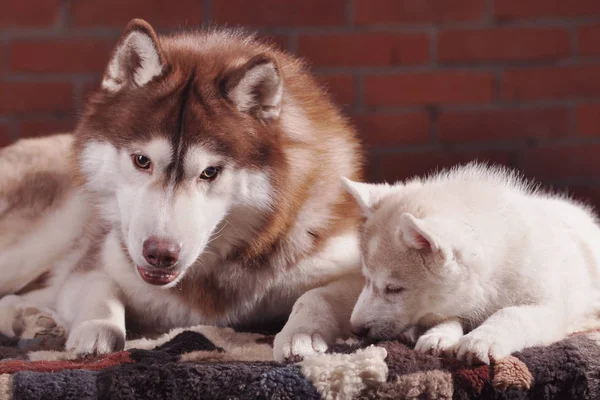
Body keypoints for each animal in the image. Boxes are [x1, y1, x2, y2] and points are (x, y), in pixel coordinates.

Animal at [344, 163, 600, 366]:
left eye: (394, 289)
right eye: (366, 279)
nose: (354, 329)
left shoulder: (549, 307)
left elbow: (511, 313)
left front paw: (482, 339)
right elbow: (448, 315)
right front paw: (439, 335)